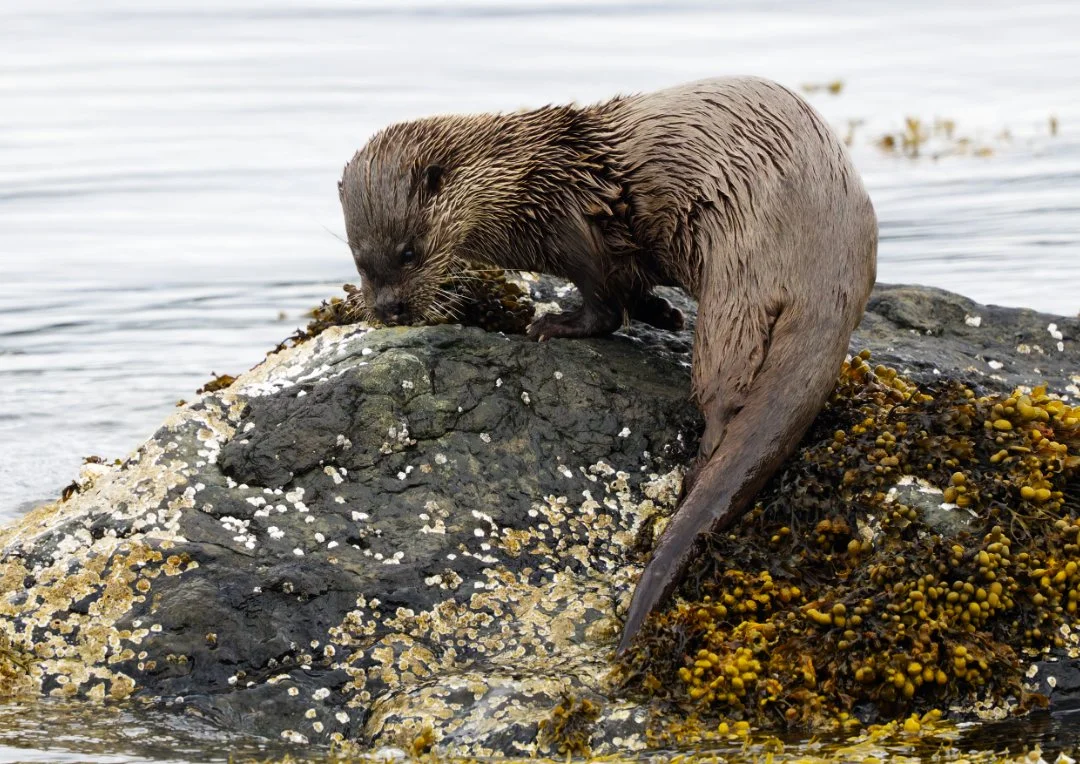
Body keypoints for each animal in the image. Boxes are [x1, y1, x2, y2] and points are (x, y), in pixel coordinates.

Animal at [338, 77, 877, 653]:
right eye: (360, 260)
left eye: (408, 252)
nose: (389, 309)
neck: (526, 184)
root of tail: (832, 273)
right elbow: (633, 293)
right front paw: (662, 314)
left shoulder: (575, 226)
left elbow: (604, 305)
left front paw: (552, 324)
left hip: (738, 272)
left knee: (725, 384)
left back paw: (699, 466)